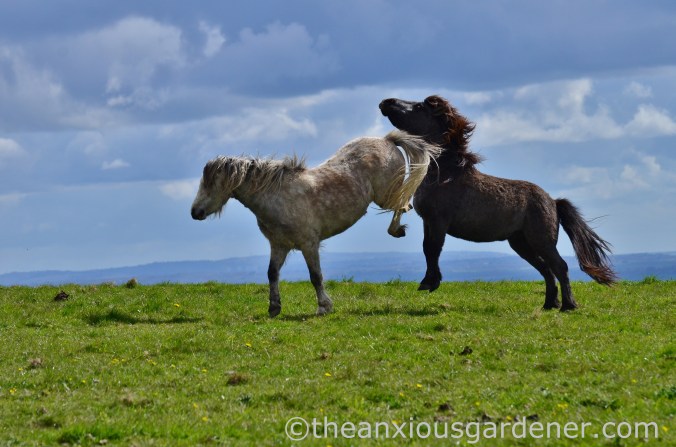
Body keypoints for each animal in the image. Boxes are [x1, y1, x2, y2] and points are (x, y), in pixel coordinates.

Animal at [191, 130, 441, 317]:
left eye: (211, 184)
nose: (195, 212)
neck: (278, 197)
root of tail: (386, 140)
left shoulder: (308, 244)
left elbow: (315, 276)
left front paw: (324, 307)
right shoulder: (279, 245)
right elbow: (272, 273)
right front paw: (274, 307)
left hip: (385, 196)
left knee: (403, 202)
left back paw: (397, 230)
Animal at [379, 95, 617, 311]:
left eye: (419, 107)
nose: (386, 102)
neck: (445, 174)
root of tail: (553, 202)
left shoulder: (439, 221)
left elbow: (432, 248)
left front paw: (430, 283)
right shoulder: (428, 221)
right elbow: (427, 249)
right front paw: (430, 281)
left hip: (541, 241)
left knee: (560, 266)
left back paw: (568, 306)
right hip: (521, 243)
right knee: (546, 270)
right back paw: (549, 304)